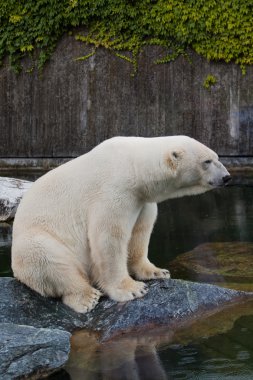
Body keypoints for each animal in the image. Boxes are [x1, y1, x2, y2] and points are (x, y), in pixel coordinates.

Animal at [11, 136, 230, 312]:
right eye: (207, 161)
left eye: (217, 157)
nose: (227, 177)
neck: (133, 165)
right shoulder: (114, 191)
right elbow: (109, 238)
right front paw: (131, 290)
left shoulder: (141, 199)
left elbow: (140, 232)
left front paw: (157, 272)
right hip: (34, 240)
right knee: (46, 257)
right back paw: (87, 297)